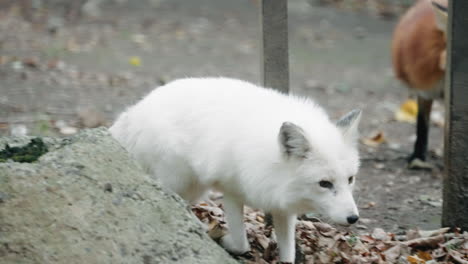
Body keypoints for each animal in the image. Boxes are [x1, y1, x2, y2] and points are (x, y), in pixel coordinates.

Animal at [109, 77, 362, 262]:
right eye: (325, 184)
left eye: (350, 179)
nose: (353, 218)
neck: (271, 163)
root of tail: (137, 108)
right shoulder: (231, 191)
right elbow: (241, 243)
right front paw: (225, 241)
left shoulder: (283, 206)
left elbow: (288, 254)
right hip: (178, 180)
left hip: (194, 187)